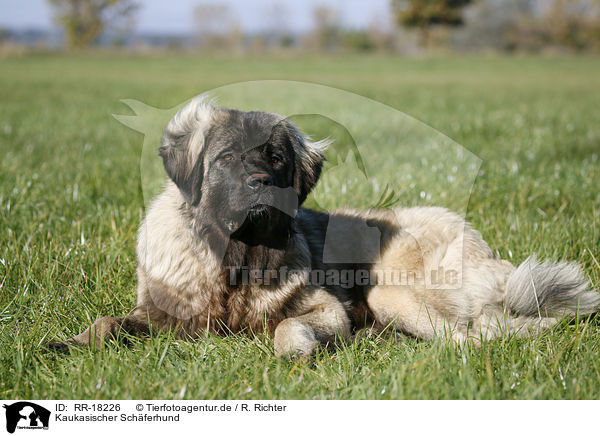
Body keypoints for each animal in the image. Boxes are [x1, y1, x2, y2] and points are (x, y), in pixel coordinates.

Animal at [48, 94, 600, 354]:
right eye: (226, 157)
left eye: (274, 157)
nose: (259, 183)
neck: (237, 265)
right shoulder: (162, 313)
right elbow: (107, 323)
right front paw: (67, 344)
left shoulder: (325, 308)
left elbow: (288, 323)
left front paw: (296, 351)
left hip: (390, 291)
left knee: (483, 337)